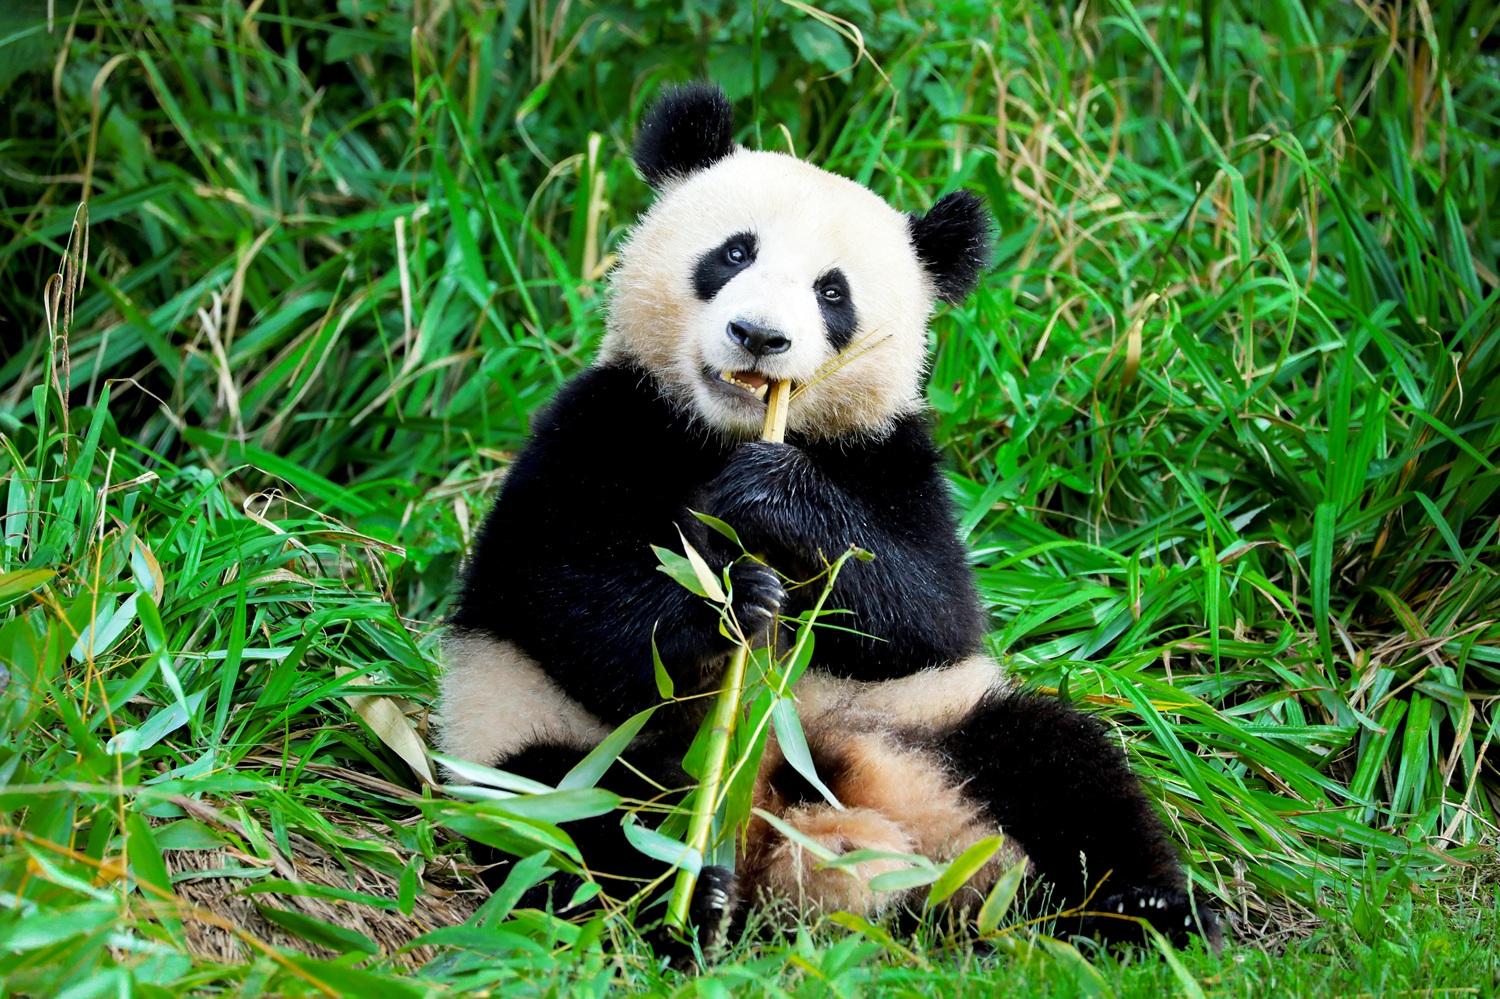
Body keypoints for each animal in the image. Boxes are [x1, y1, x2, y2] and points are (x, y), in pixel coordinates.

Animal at [440, 82, 1221, 954]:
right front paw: (732, 601)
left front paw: (775, 503)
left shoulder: (892, 460)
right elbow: (559, 589)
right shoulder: (601, 420)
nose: (759, 336)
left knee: (1063, 766)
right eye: (734, 254)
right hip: (548, 741)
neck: (729, 429)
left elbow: (931, 608)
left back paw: (1150, 907)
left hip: (940, 718)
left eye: (832, 292)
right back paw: (692, 901)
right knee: (575, 817)